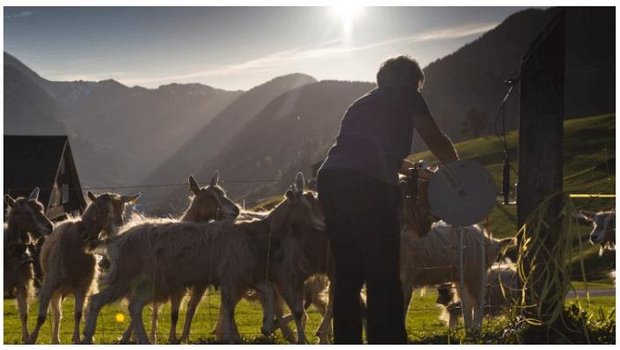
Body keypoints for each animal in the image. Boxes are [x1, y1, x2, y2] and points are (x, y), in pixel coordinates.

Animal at [4, 189, 54, 342]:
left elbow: (24, 314)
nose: (50, 226)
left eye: (41, 208)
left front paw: (26, 338)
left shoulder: (22, 284)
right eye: (26, 212)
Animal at [25, 190, 139, 344]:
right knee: (57, 313)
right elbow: (42, 316)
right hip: (57, 288)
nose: (119, 230)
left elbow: (78, 314)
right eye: (104, 210)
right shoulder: (50, 282)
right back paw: (55, 339)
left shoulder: (83, 286)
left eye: (122, 209)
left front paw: (78, 339)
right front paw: (31, 339)